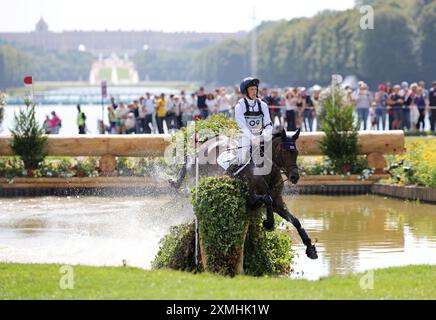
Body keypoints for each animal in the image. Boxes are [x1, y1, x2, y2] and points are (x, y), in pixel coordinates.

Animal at [169, 127, 318, 260]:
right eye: (283, 152)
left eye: (296, 152)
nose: (294, 177)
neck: (267, 171)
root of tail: (207, 142)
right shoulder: (250, 199)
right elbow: (267, 199)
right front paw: (268, 223)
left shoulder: (278, 202)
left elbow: (295, 220)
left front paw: (310, 249)